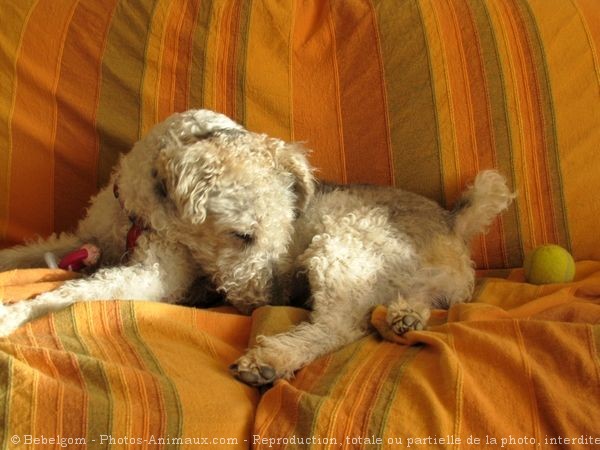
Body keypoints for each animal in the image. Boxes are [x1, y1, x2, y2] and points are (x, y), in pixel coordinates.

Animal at [1, 110, 510, 386]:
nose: (277, 297)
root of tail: (453, 222)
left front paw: (12, 314)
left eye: (284, 231)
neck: (139, 215)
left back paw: (271, 359)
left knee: (341, 325)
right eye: (241, 235)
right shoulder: (86, 237)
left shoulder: (154, 276)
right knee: (411, 301)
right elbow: (32, 252)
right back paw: (406, 316)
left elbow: (71, 293)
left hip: (339, 242)